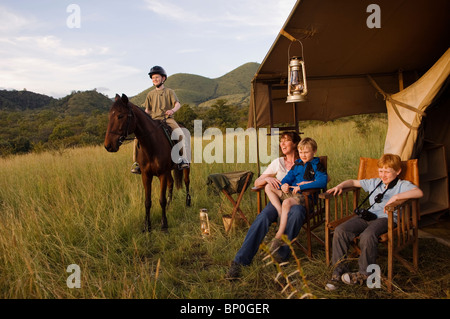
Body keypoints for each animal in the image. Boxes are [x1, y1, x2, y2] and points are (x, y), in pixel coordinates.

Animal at [104, 94, 191, 231]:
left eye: (120, 116)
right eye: (110, 116)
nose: (108, 146)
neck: (151, 145)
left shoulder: (162, 174)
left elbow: (161, 200)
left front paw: (164, 225)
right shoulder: (146, 175)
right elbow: (147, 201)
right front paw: (147, 226)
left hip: (185, 166)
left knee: (187, 181)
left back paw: (188, 202)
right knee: (171, 183)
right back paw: (170, 205)